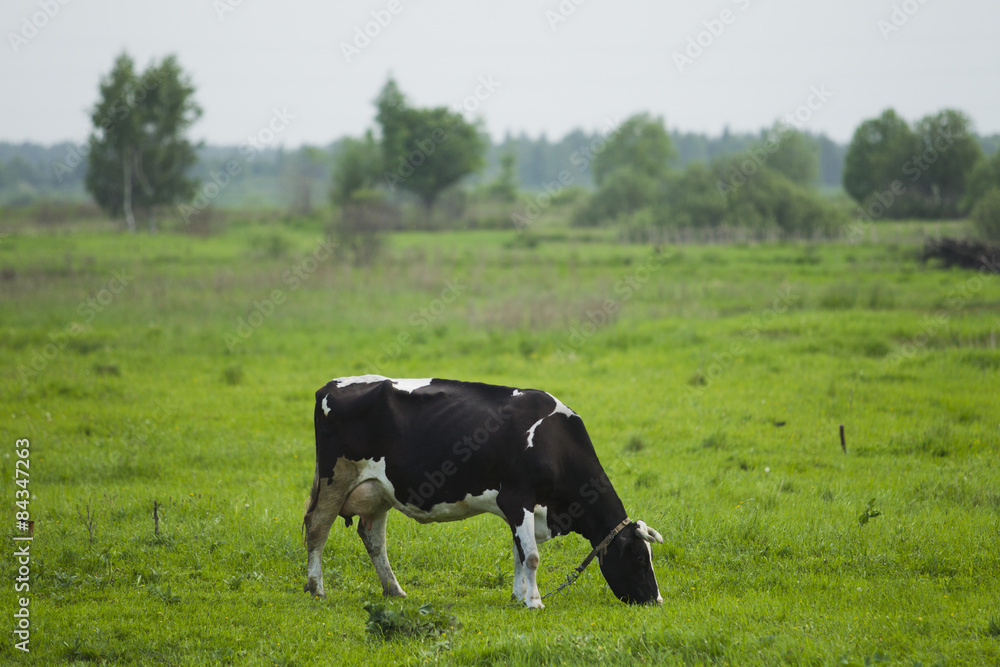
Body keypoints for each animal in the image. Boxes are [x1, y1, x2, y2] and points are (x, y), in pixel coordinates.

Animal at [304, 374, 664, 608]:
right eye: (637, 557)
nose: (656, 600)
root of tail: (330, 385)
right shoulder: (517, 498)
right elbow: (532, 556)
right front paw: (534, 602)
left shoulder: (520, 509)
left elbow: (520, 553)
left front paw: (518, 598)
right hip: (335, 479)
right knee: (317, 528)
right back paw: (317, 589)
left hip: (378, 490)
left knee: (374, 539)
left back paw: (395, 591)